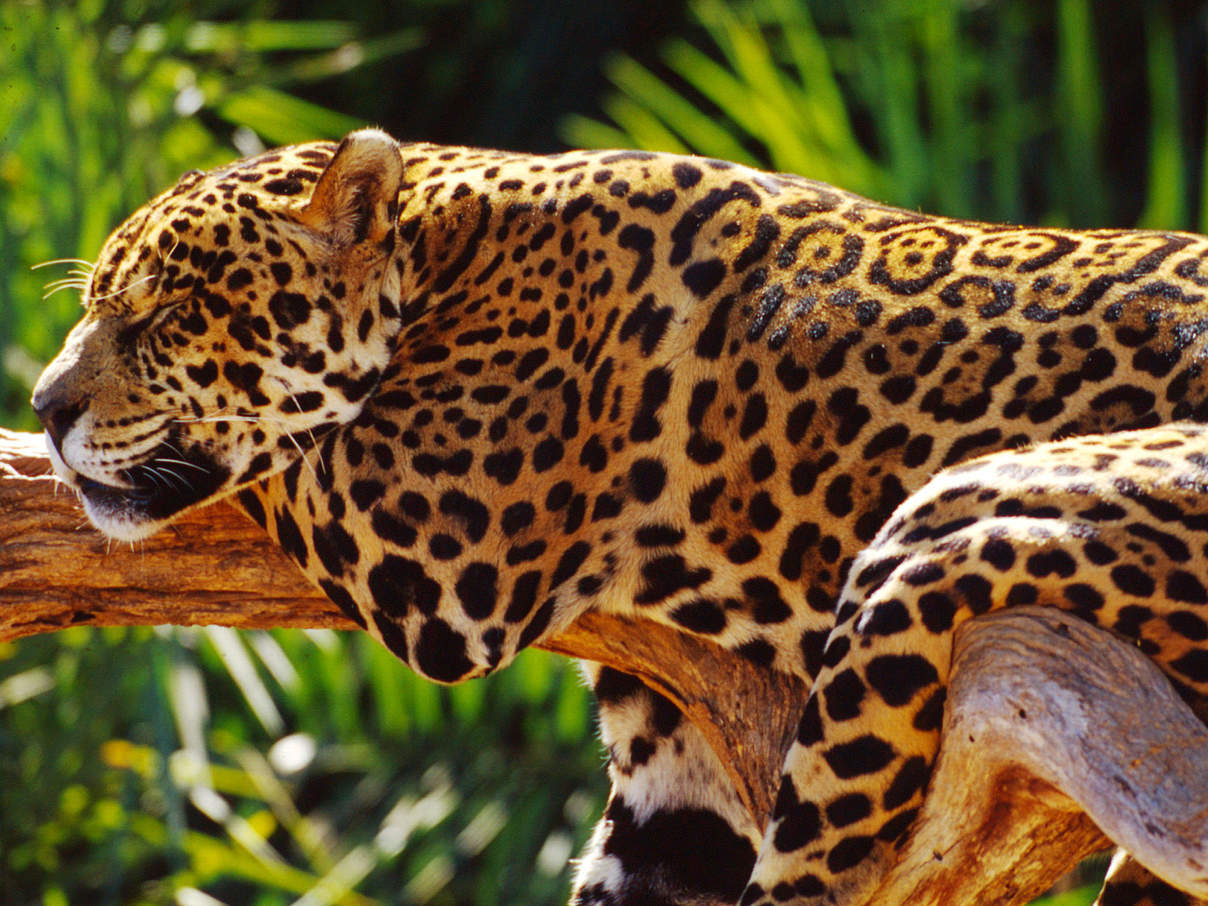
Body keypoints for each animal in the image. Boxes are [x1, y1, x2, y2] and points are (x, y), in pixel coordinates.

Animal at [30, 127, 1208, 906]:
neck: (445, 244)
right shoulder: (674, 765)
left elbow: (279, 445)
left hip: (948, 540)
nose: (43, 407)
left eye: (171, 314)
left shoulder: (435, 535)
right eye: (93, 306)